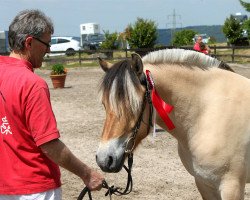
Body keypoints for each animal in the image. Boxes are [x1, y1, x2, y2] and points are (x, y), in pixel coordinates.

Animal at [95, 48, 250, 200]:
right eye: (104, 104)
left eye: (135, 104)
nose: (104, 159)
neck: (207, 112)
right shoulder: (204, 182)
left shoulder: (231, 187)